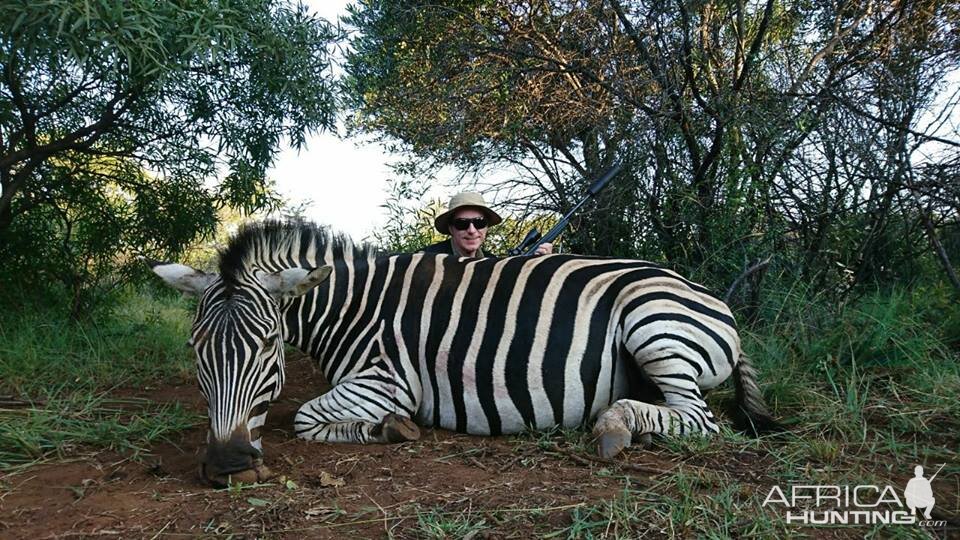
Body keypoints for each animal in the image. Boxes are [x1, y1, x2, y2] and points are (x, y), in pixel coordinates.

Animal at [152, 219, 780, 486]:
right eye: (195, 349)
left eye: (267, 345)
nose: (227, 465)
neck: (356, 307)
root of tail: (708, 297)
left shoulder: (388, 379)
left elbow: (305, 417)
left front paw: (391, 428)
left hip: (653, 323)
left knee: (702, 420)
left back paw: (615, 427)